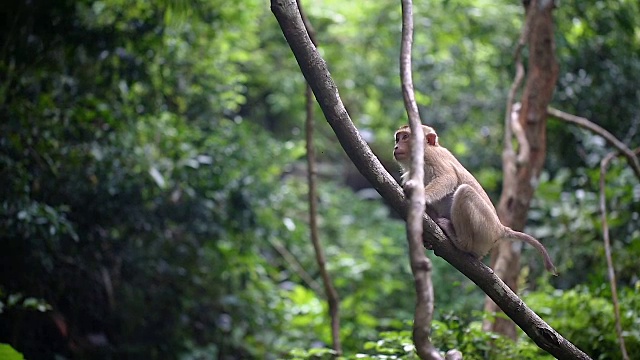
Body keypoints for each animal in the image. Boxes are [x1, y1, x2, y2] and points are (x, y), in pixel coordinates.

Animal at [392, 124, 556, 276]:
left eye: (405, 137)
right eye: (398, 138)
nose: (396, 146)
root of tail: (501, 229)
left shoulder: (430, 155)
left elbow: (448, 177)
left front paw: (421, 197)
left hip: (486, 229)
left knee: (465, 191)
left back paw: (461, 242)